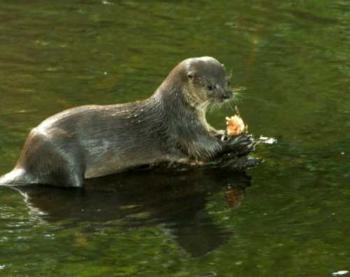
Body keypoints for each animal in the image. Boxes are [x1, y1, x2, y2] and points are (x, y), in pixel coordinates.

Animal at [0, 55, 252, 185]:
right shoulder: (184, 127)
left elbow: (211, 137)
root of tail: (24, 162)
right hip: (63, 158)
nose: (227, 95)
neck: (177, 108)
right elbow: (205, 149)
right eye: (210, 86)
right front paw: (238, 143)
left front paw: (230, 134)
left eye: (227, 81)